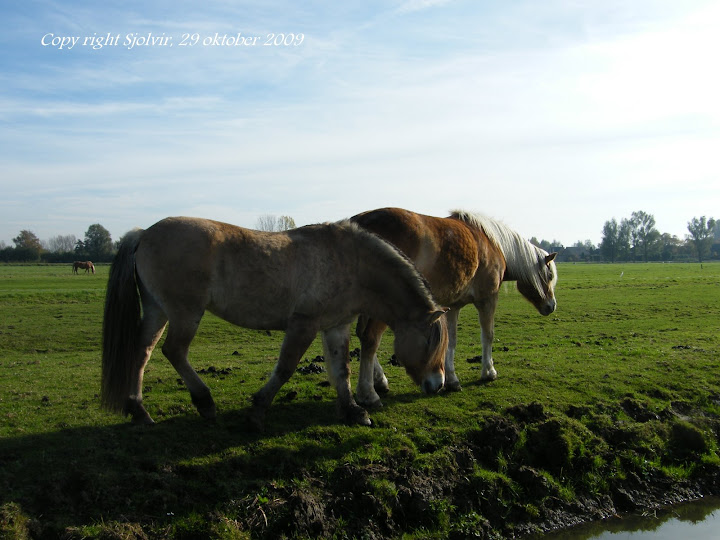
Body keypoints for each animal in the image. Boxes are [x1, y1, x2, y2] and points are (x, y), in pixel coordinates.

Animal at [101, 216, 448, 429]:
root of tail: (144, 233)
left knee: (142, 351)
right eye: (431, 343)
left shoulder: (335, 326)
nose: (438, 385)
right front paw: (257, 412)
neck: (351, 261)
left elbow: (341, 371)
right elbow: (285, 369)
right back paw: (205, 402)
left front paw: (354, 410)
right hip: (185, 313)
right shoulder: (303, 324)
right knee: (174, 351)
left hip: (157, 310)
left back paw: (139, 410)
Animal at [351, 207, 557, 407]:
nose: (551, 306)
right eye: (549, 276)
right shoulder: (488, 299)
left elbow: (451, 340)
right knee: (370, 338)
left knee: (362, 334)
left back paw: (380, 381)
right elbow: (488, 335)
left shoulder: (453, 306)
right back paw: (368, 393)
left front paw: (451, 380)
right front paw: (488, 372)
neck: (493, 244)